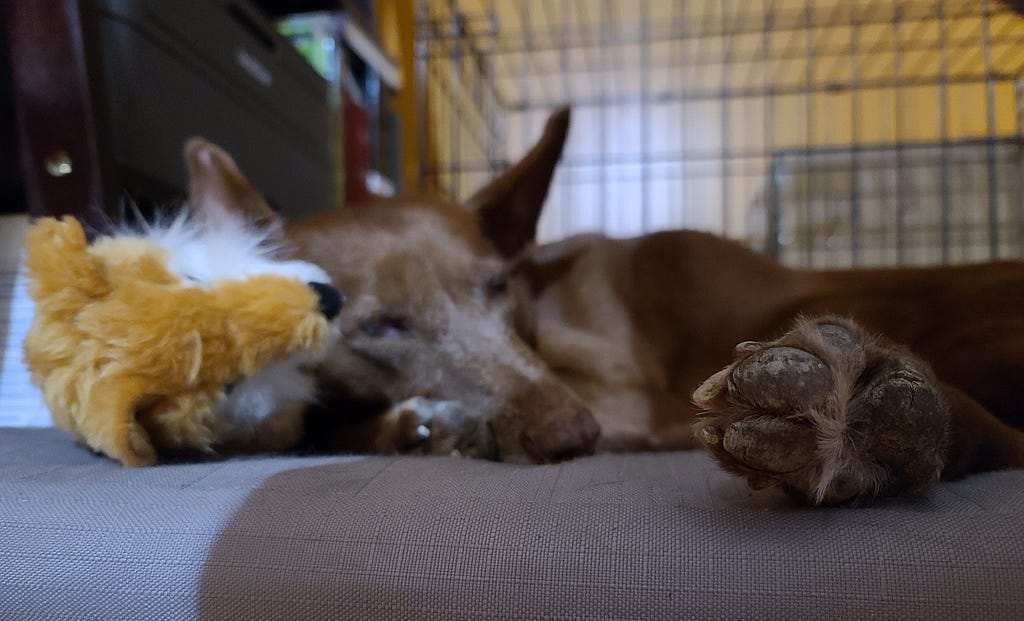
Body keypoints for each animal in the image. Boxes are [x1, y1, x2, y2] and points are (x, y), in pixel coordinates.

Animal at [184, 108, 1024, 506]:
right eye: (381, 326)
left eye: (498, 286)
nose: (570, 432)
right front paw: (408, 425)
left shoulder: (627, 392)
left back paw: (863, 420)